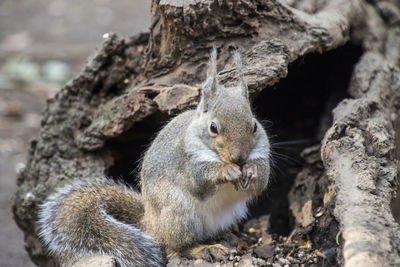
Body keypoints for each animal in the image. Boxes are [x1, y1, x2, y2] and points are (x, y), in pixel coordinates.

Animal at [37, 48, 270, 267]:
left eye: (254, 125)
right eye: (213, 127)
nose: (239, 158)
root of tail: (148, 223)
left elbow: (260, 184)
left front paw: (251, 170)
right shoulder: (186, 162)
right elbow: (200, 183)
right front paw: (227, 171)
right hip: (178, 213)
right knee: (176, 246)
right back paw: (202, 249)